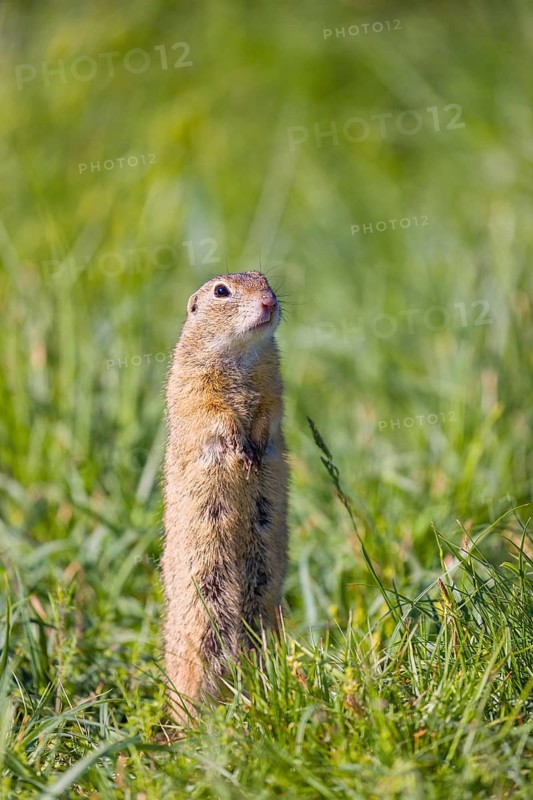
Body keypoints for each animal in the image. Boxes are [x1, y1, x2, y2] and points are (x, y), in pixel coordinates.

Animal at [162, 271, 289, 721]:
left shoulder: (273, 384)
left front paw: (257, 450)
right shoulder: (196, 386)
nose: (270, 302)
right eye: (221, 291)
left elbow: (269, 411)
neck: (242, 356)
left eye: (266, 279)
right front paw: (240, 452)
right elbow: (216, 414)